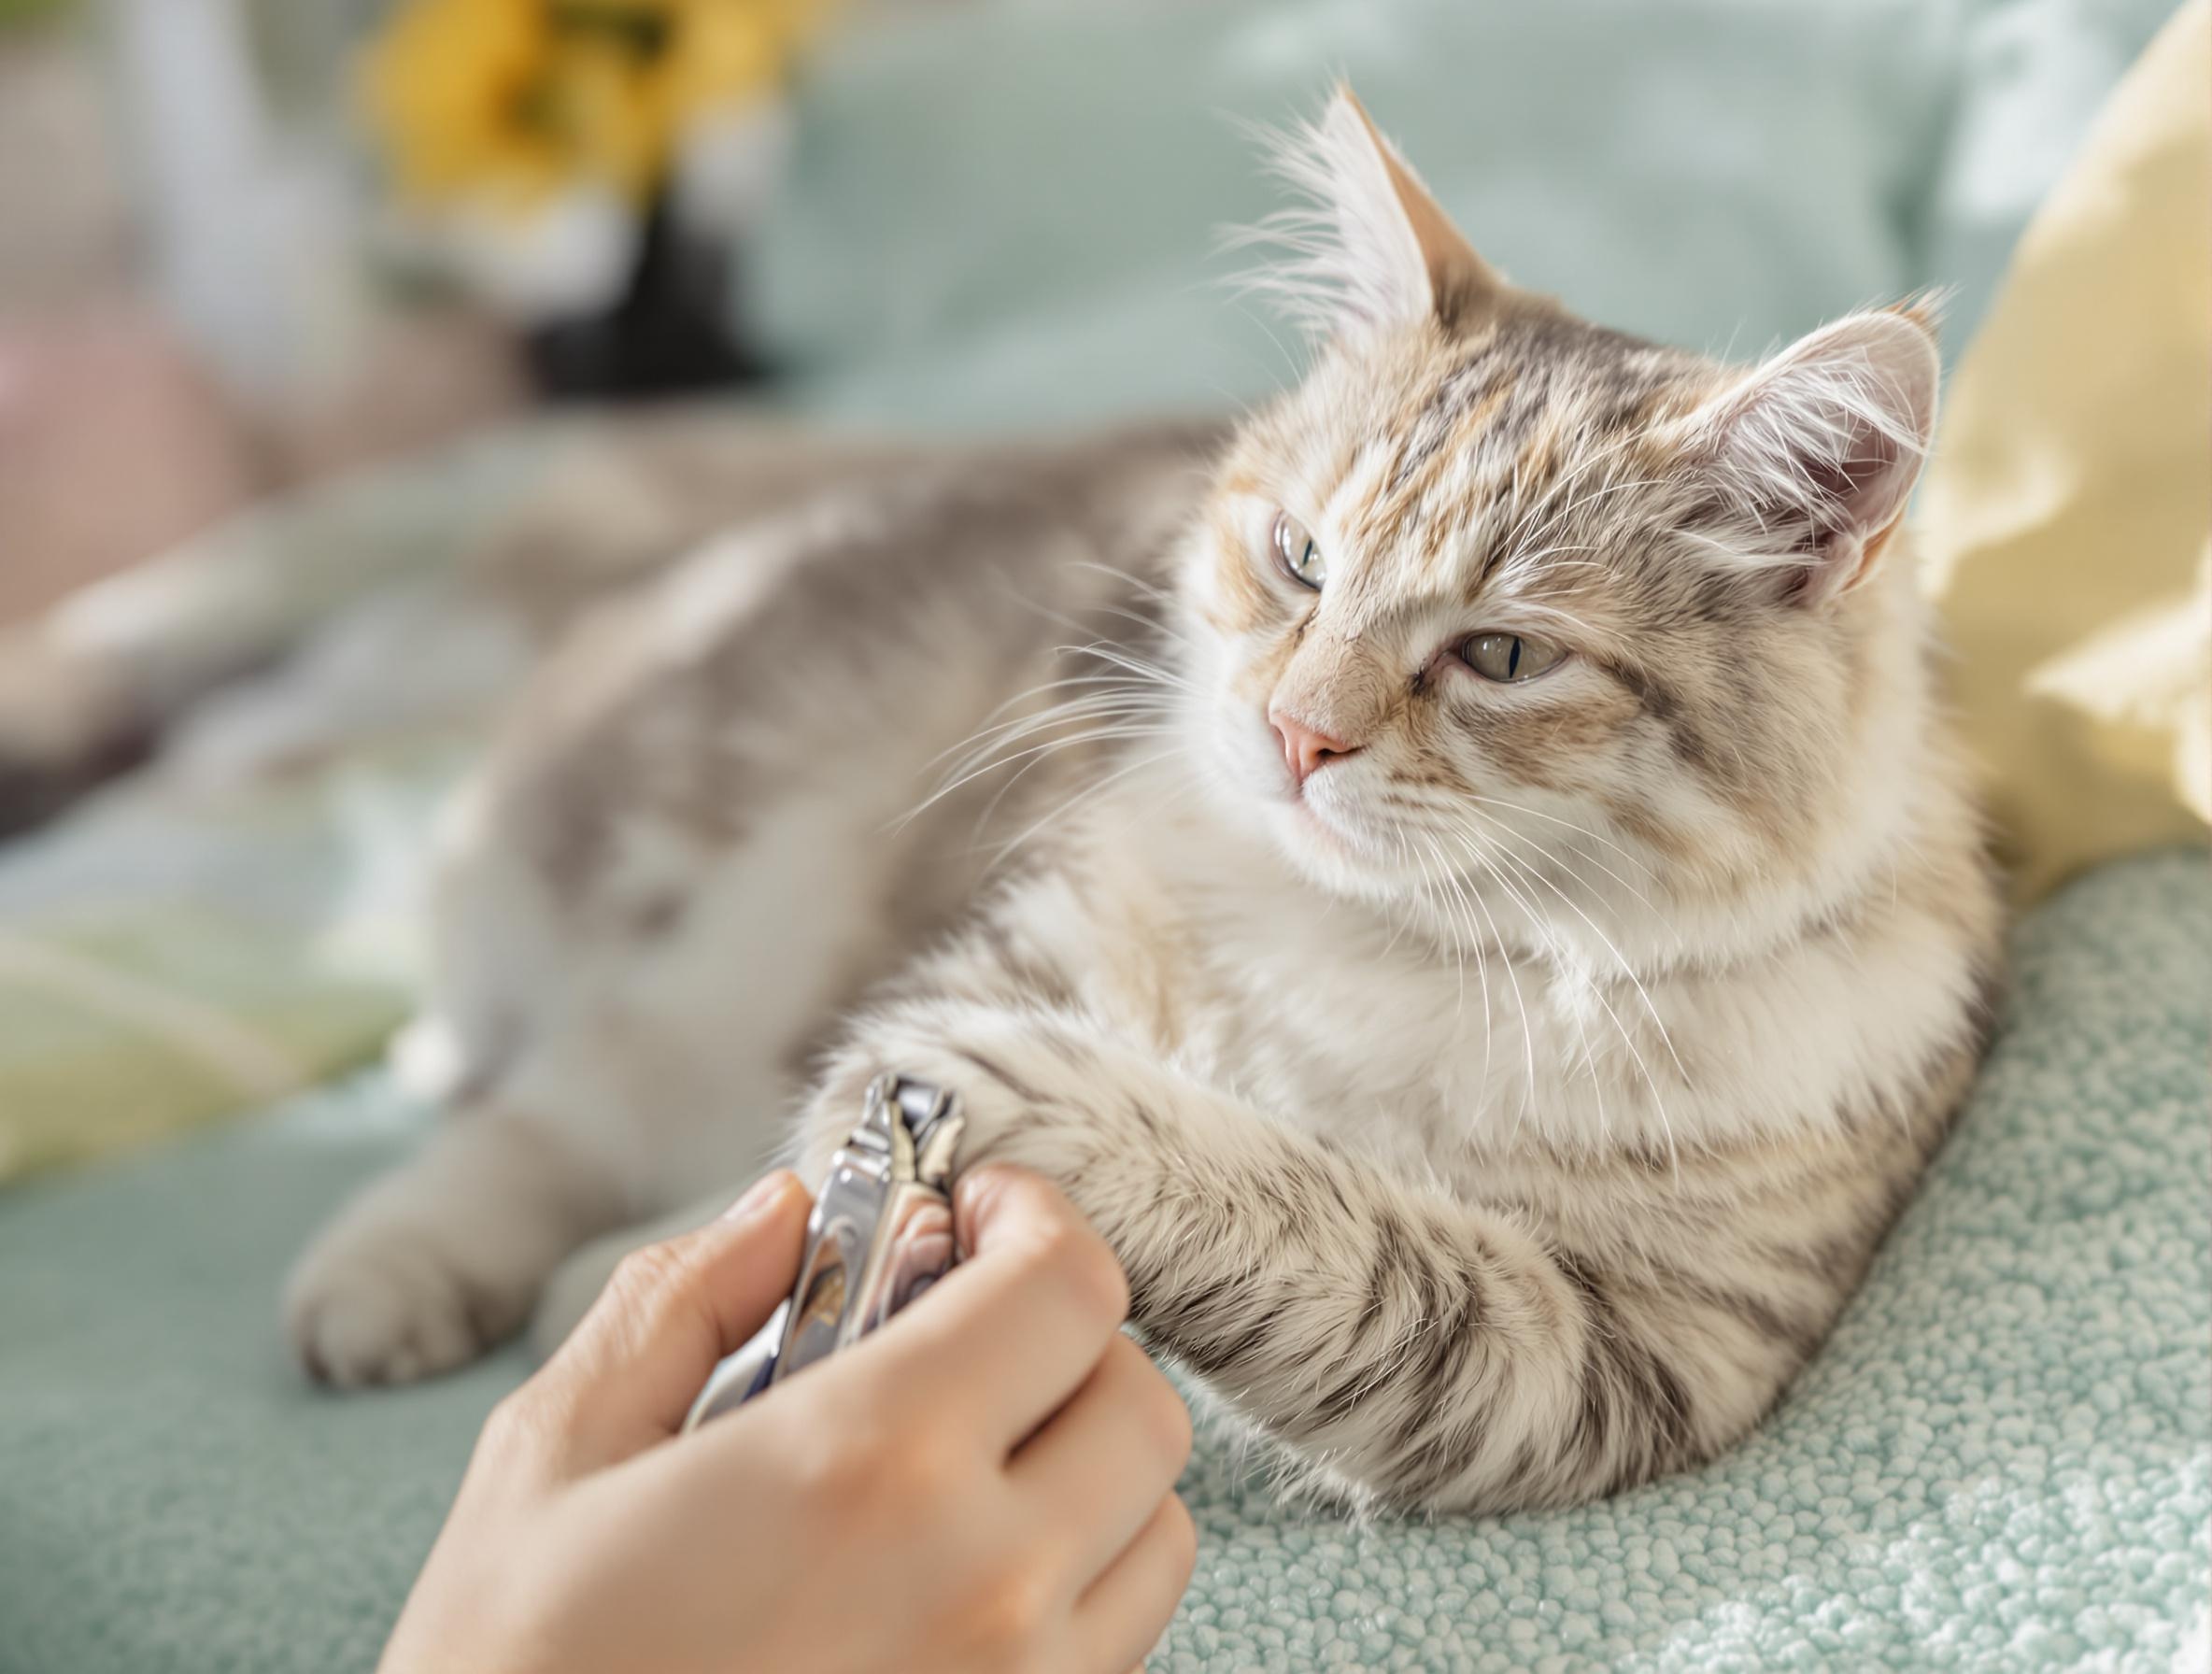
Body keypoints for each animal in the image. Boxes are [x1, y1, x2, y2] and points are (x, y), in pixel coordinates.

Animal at [290, 91, 2008, 1512]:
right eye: (1302, 558)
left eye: (1504, 654)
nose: (1295, 734)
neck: (1400, 950)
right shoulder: (1025, 928)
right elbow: (798, 1155)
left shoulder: (1614, 1352)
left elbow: (1321, 1224)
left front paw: (1031, 1107)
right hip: (750, 910)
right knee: (550, 1096)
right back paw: (385, 1278)